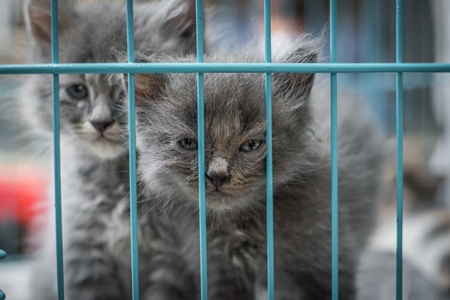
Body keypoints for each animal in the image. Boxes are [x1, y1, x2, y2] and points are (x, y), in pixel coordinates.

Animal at [21, 0, 197, 300]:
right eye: (78, 90)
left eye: (125, 93)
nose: (100, 122)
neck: (119, 184)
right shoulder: (82, 252)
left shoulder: (174, 259)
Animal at [122, 38, 386, 300]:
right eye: (188, 143)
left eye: (251, 145)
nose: (217, 175)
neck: (242, 224)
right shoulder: (220, 271)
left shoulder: (328, 262)